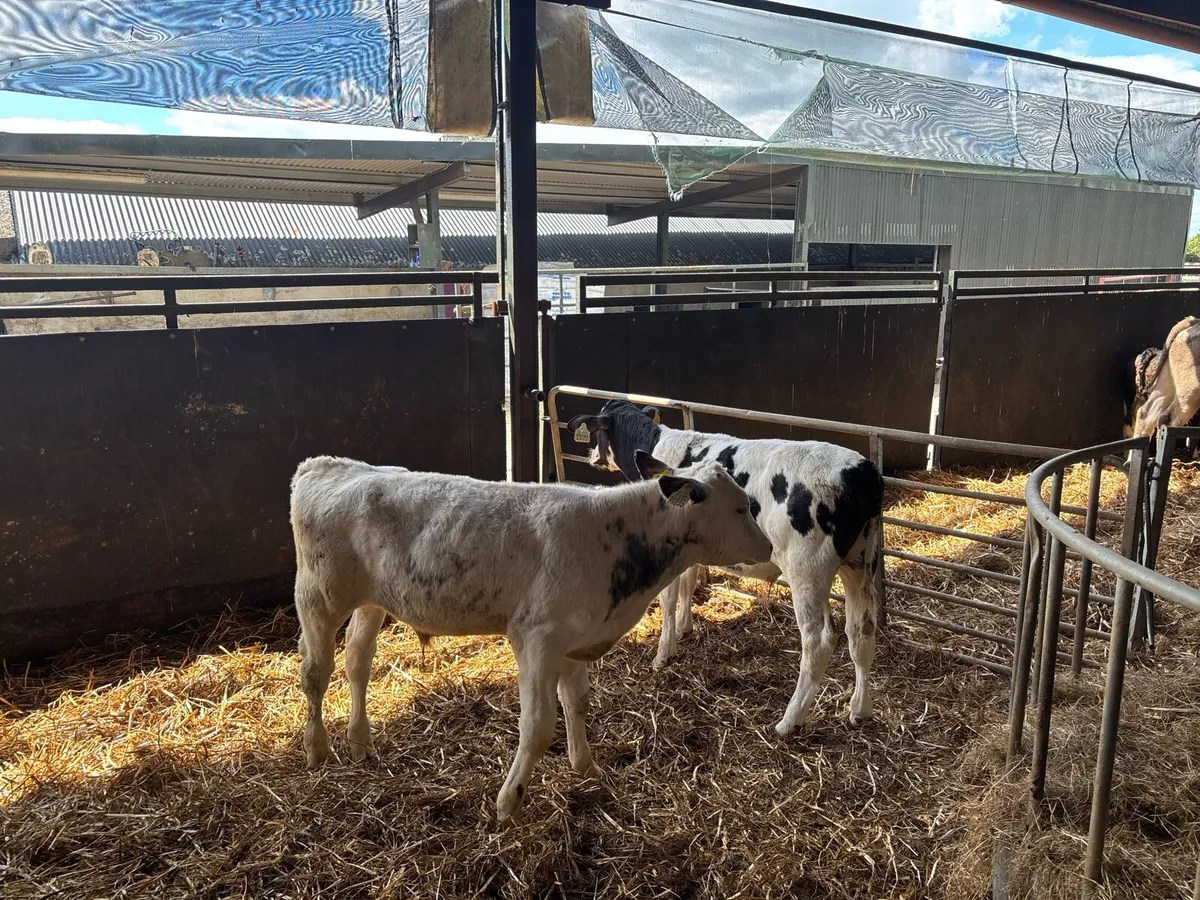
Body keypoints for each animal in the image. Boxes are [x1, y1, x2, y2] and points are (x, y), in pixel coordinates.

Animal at [289, 454, 771, 823]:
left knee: (357, 661)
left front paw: (586, 767)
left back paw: (361, 743)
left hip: (372, 602)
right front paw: (509, 803)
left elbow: (577, 703)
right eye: (741, 507)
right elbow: (538, 727)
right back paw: (317, 749)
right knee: (315, 673)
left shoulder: (576, 638)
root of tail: (325, 465)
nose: (768, 547)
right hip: (317, 597)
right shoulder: (537, 638)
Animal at [566, 400, 885, 738]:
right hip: (860, 562)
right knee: (862, 629)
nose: (591, 456)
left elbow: (668, 598)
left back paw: (789, 720)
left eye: (599, 433)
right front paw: (685, 627)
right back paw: (860, 711)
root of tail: (861, 471)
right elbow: (689, 582)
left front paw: (663, 653)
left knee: (819, 640)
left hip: (807, 570)